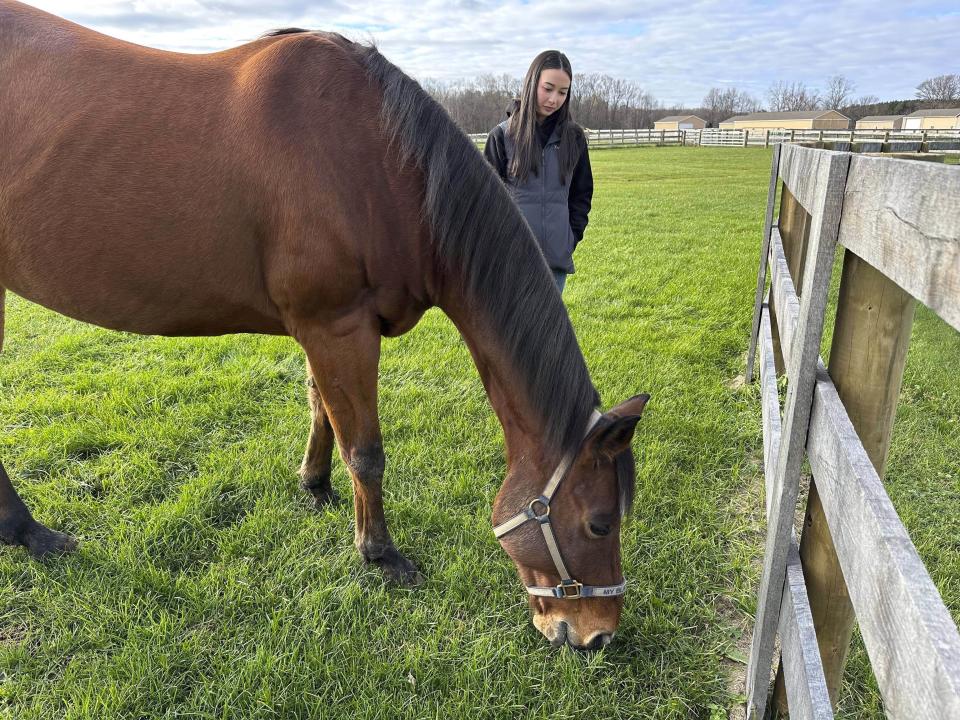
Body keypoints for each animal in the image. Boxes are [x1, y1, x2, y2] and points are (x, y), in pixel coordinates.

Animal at [0, 0, 648, 648]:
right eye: (598, 523)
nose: (597, 634)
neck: (380, 164)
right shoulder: (338, 327)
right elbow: (364, 449)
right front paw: (380, 553)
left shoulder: (324, 332)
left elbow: (321, 411)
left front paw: (314, 485)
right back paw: (31, 532)